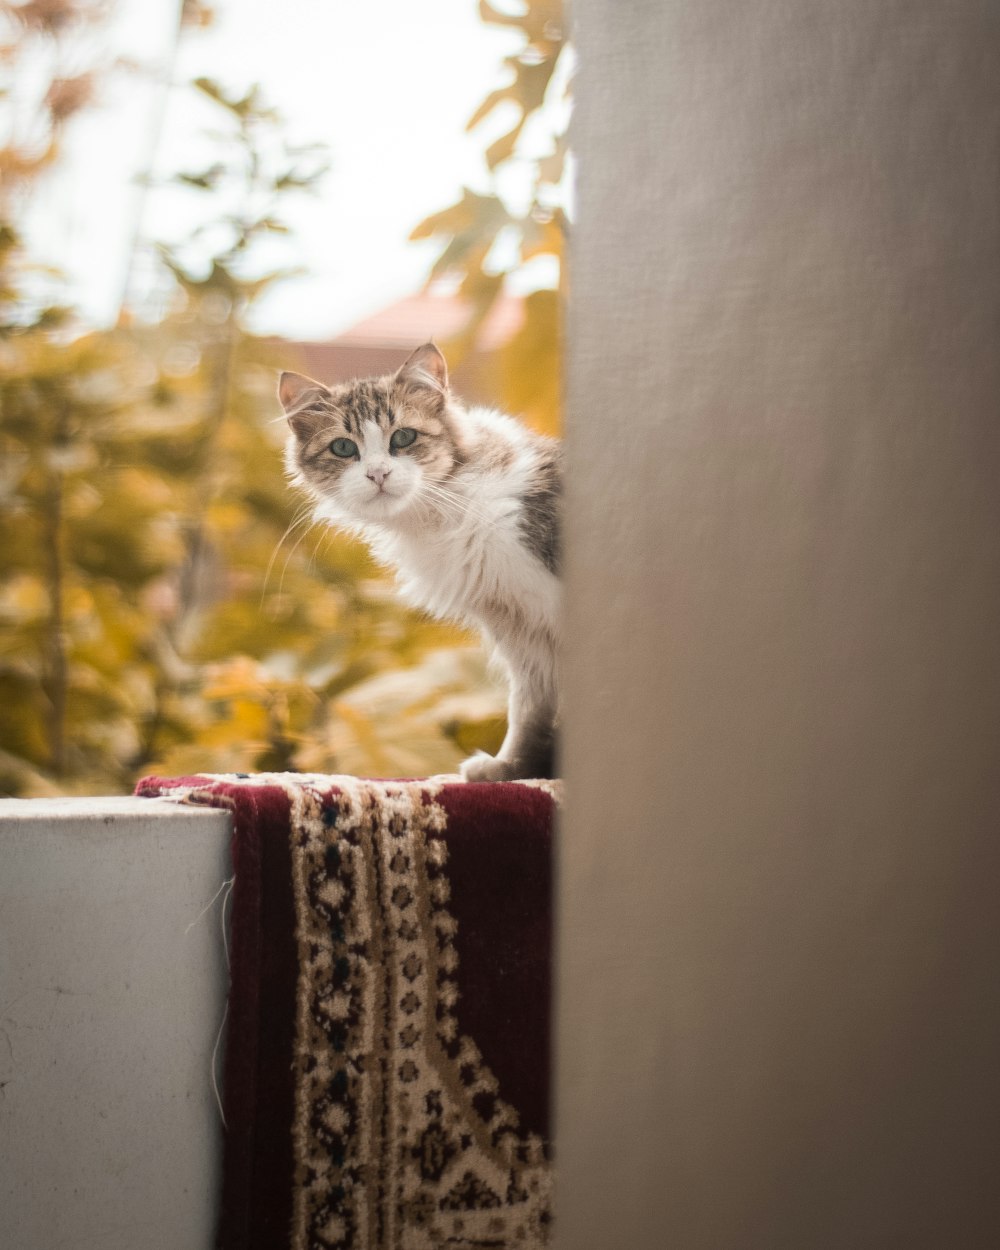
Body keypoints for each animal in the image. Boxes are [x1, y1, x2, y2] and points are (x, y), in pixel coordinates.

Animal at [278, 337, 562, 775]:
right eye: (343, 447)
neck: (453, 510)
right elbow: (528, 710)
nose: (378, 474)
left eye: (403, 438)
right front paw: (511, 769)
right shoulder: (522, 631)